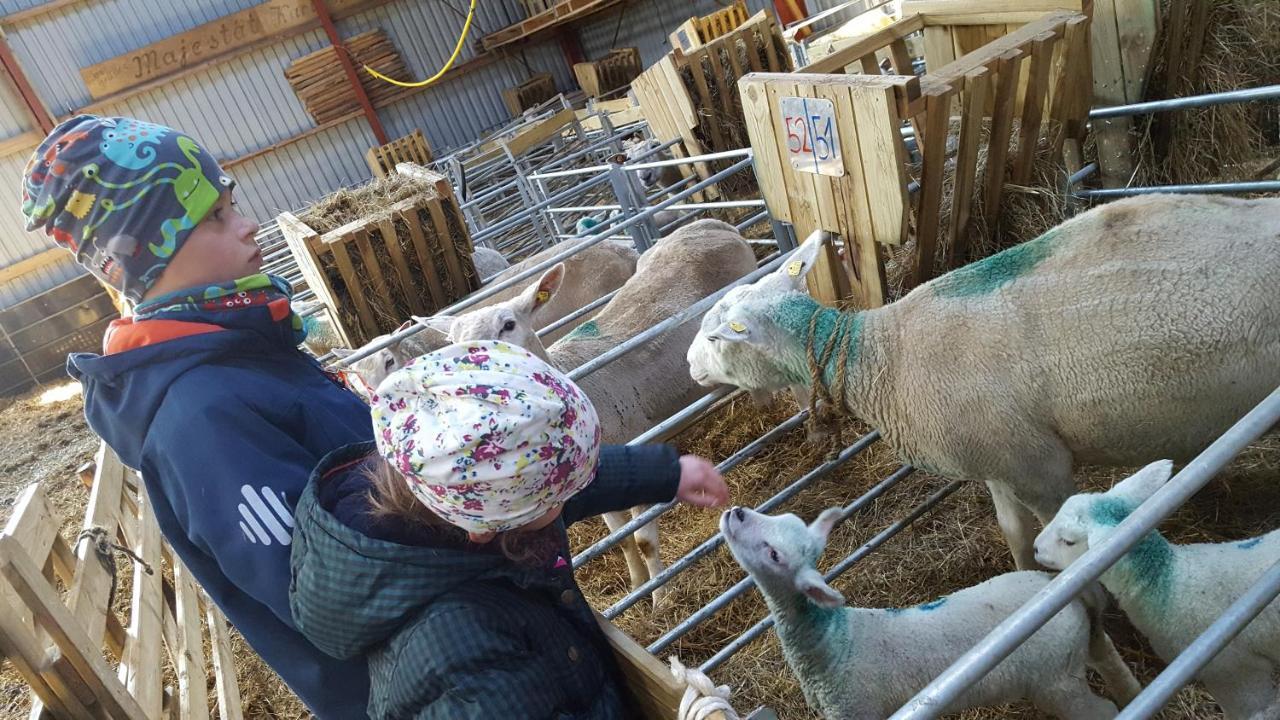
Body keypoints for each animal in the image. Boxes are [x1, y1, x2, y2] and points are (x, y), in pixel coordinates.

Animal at [419, 220, 757, 604]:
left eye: (508, 325)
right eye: (451, 342)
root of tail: (710, 224)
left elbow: (643, 539)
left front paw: (661, 597)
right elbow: (621, 541)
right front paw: (637, 586)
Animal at [686, 194, 1280, 566]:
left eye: (715, 335)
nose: (690, 365)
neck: (877, 359)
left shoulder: (1041, 469)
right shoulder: (997, 460)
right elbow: (1015, 537)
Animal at [721, 504, 1141, 717]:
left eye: (775, 555)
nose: (735, 512)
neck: (833, 642)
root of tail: (1067, 591)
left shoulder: (857, 710)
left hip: (1055, 682)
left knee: (1099, 711)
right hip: (1077, 652)